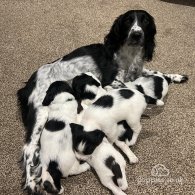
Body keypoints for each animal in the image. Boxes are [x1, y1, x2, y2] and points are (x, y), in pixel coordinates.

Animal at [17, 9, 188, 193]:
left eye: (145, 21)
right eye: (128, 21)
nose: (136, 34)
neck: (129, 53)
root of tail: (27, 85)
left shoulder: (136, 71)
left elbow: (156, 72)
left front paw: (176, 76)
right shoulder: (110, 81)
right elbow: (130, 88)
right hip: (41, 113)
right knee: (29, 149)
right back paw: (31, 183)